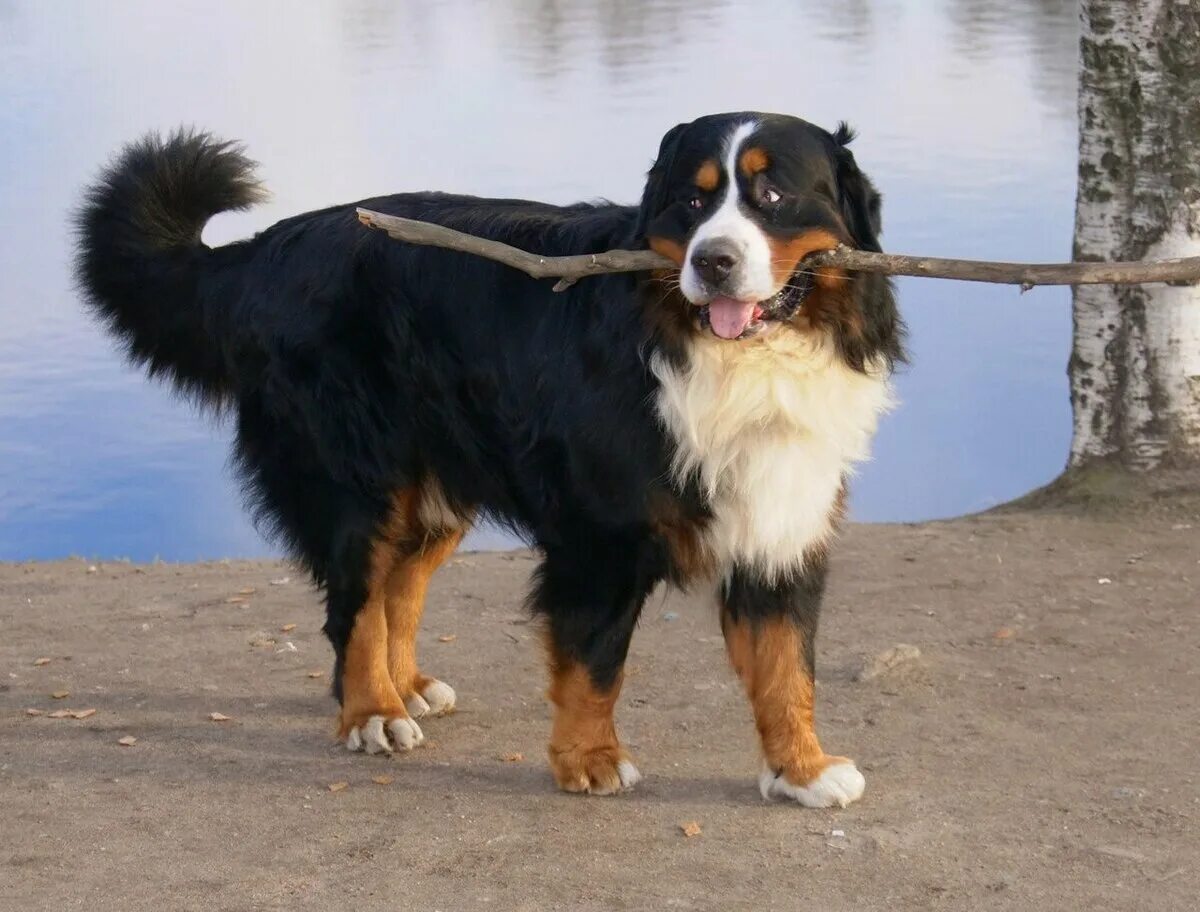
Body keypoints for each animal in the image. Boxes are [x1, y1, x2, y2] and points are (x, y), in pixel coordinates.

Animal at [77, 112, 902, 806]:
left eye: (773, 194)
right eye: (692, 204)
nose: (716, 262)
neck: (732, 361)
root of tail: (269, 249)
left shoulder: (781, 524)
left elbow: (786, 667)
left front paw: (802, 770)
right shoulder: (599, 540)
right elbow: (595, 662)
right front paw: (589, 760)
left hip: (436, 485)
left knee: (398, 588)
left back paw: (403, 687)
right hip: (357, 480)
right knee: (354, 605)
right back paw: (371, 710)